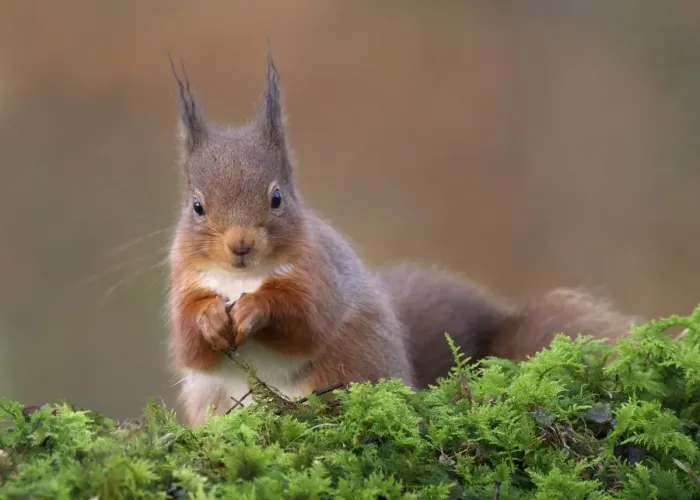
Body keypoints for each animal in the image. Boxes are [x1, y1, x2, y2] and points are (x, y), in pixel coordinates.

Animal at [166, 50, 415, 426]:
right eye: (197, 206)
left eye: (277, 198)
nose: (240, 244)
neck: (242, 277)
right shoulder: (185, 281)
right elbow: (190, 346)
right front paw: (209, 318)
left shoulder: (316, 272)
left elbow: (305, 323)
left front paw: (255, 307)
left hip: (344, 362)